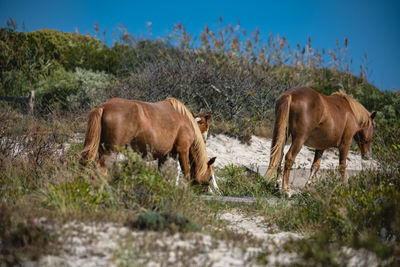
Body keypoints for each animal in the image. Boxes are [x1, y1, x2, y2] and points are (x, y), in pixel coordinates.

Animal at [79, 97, 219, 189]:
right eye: (210, 177)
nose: (210, 190)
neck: (186, 120)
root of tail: (103, 107)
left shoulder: (164, 156)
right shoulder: (183, 150)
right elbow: (186, 174)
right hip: (111, 150)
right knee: (101, 168)